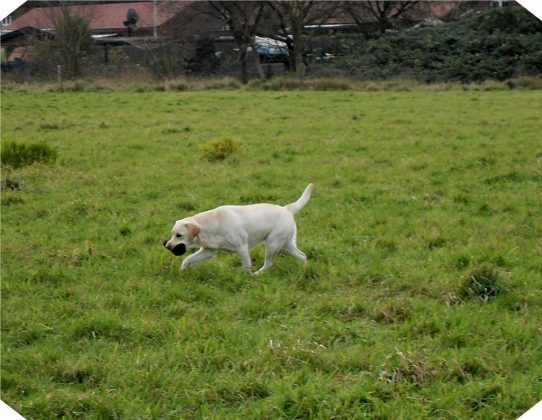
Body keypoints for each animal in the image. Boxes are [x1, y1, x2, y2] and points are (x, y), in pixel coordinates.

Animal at [164, 184, 314, 276]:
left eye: (179, 235)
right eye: (172, 234)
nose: (167, 246)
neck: (212, 223)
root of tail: (287, 209)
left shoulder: (242, 248)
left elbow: (246, 267)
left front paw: (248, 278)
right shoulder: (208, 252)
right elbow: (187, 259)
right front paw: (182, 271)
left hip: (272, 244)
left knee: (269, 263)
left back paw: (257, 274)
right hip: (286, 245)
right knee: (303, 256)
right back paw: (305, 269)